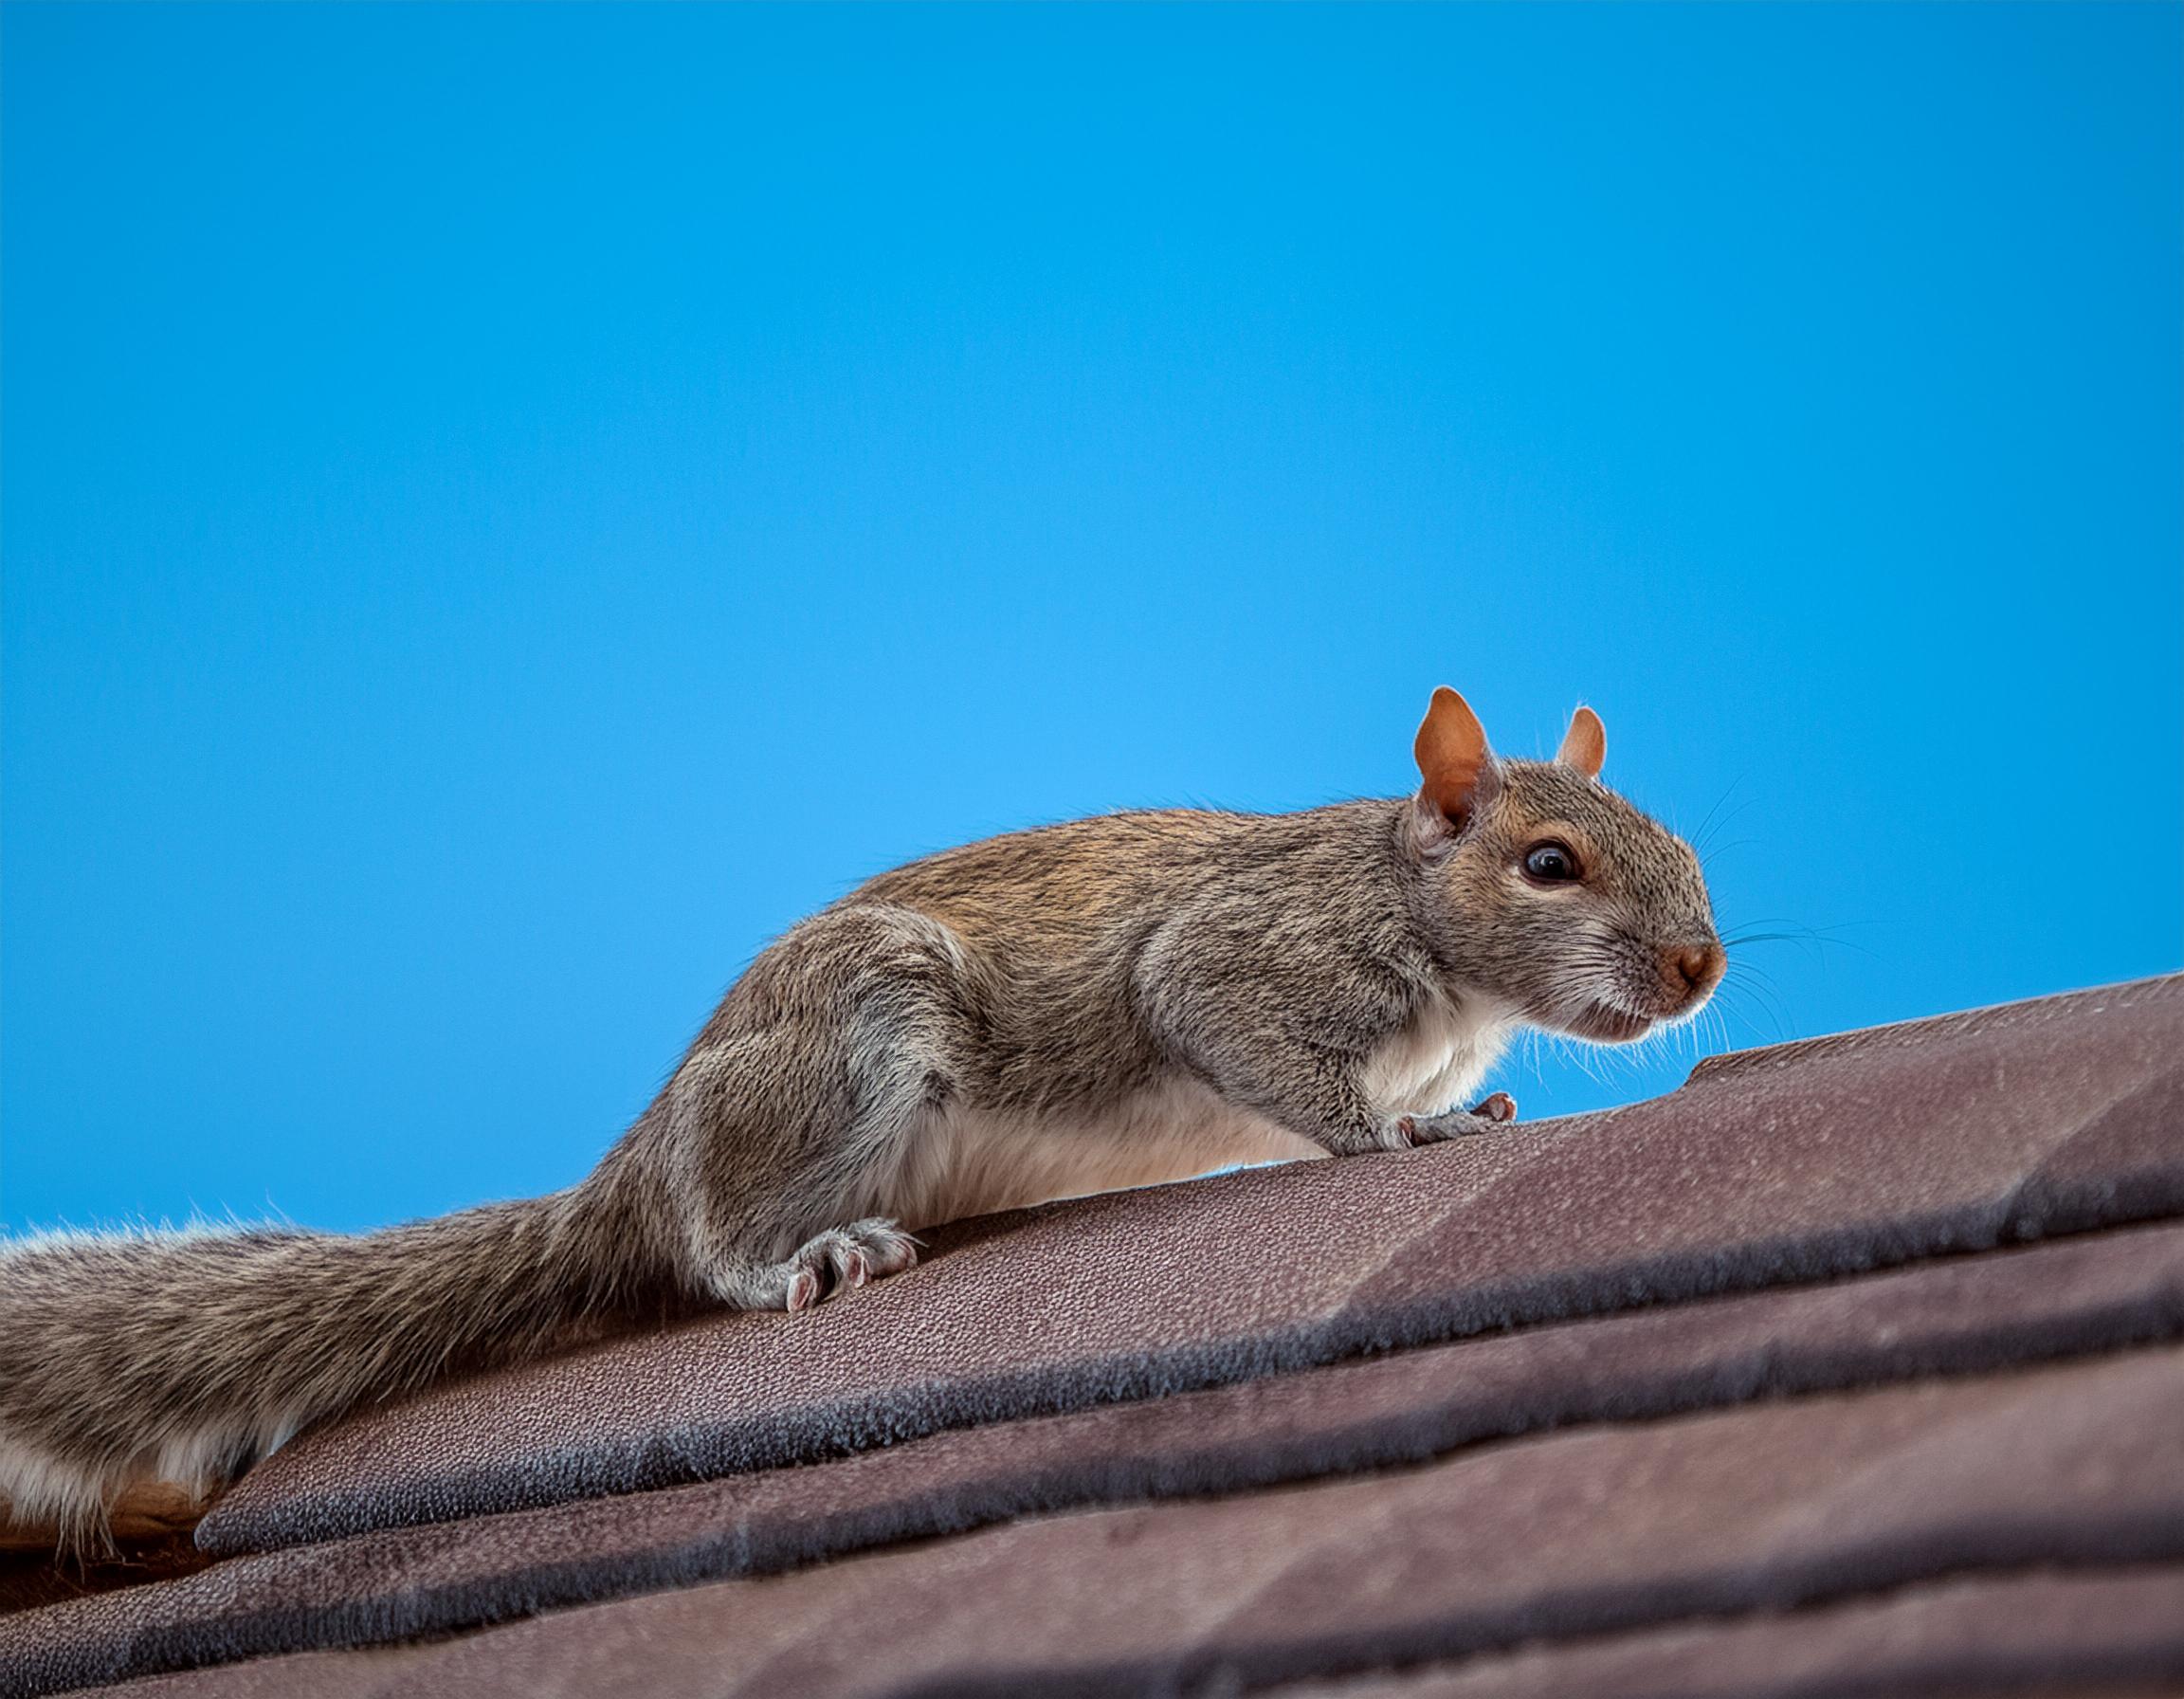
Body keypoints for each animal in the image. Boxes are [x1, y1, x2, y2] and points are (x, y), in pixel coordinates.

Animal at [1, 688, 1724, 1545]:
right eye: (1548, 864)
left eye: (1683, 844)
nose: (1703, 965)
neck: (1424, 931)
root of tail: (630, 1166)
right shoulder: (1235, 965)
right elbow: (1279, 1067)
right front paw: (1413, 1140)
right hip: (847, 1044)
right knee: (708, 1243)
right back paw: (796, 1259)